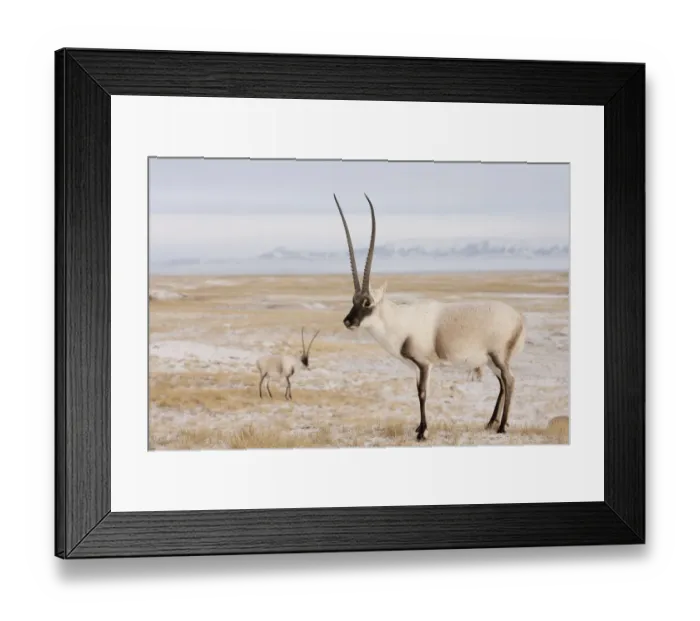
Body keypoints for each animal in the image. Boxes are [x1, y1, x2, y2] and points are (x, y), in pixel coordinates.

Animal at [333, 193, 526, 442]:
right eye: (353, 300)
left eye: (368, 302)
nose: (348, 321)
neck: (399, 320)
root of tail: (519, 318)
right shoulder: (416, 368)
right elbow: (417, 392)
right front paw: (418, 428)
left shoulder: (425, 364)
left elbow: (423, 393)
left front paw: (423, 432)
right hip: (491, 360)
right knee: (502, 382)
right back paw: (491, 423)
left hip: (498, 356)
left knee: (509, 381)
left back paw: (501, 427)